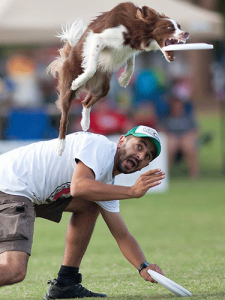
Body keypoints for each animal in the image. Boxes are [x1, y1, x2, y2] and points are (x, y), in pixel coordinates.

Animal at [48, 0, 189, 155]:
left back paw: (85, 122)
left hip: (103, 87)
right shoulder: (99, 38)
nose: (186, 33)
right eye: (169, 27)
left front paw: (124, 79)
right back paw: (61, 145)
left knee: (86, 102)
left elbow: (131, 63)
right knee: (64, 118)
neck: (137, 26)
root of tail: (66, 58)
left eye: (179, 27)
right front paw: (78, 81)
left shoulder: (130, 49)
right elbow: (91, 67)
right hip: (68, 89)